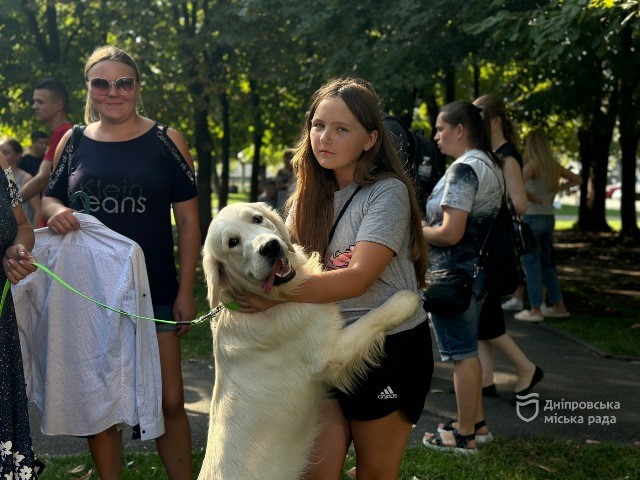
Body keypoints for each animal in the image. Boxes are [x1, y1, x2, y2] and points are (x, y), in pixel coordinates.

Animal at [200, 202, 420, 480]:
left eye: (257, 219)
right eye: (232, 242)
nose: (269, 247)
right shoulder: (330, 353)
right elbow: (375, 317)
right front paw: (408, 300)